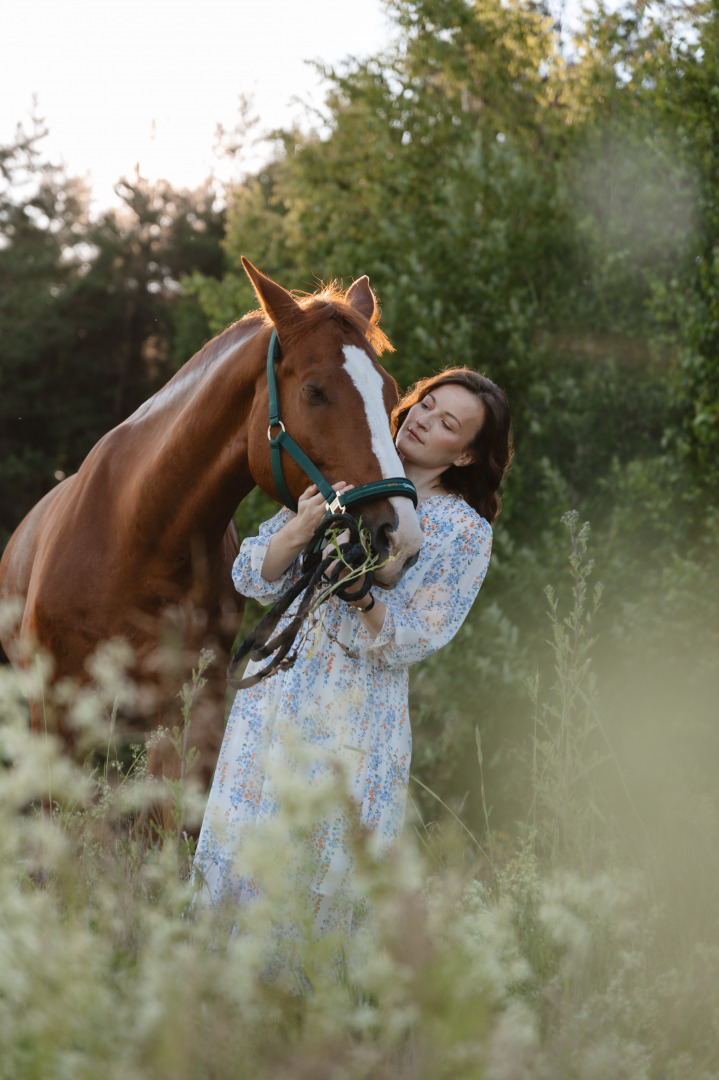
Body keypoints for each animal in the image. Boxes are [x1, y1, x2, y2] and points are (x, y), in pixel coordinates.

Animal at [0, 257, 421, 807]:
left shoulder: (189, 713)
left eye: (390, 393)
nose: (401, 536)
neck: (140, 542)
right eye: (315, 391)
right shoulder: (54, 717)